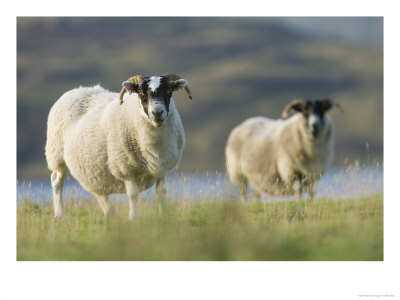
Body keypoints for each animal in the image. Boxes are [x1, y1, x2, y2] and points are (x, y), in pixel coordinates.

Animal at [45, 72, 192, 218]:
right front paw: (134, 219)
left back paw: (112, 214)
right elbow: (133, 195)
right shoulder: (125, 167)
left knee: (98, 191)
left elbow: (161, 193)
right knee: (56, 181)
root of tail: (77, 89)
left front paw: (163, 217)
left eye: (169, 91)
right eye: (141, 93)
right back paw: (60, 215)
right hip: (57, 155)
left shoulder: (162, 167)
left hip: (92, 167)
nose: (157, 113)